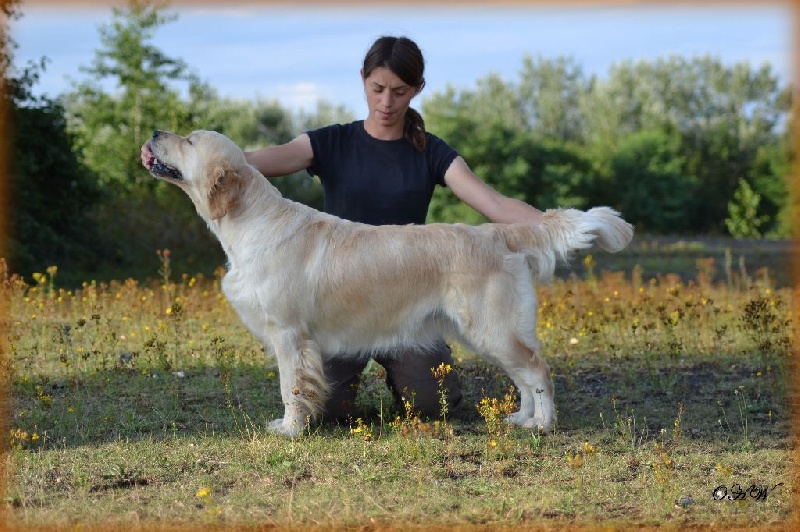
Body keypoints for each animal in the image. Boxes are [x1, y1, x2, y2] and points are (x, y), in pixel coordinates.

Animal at [141, 129, 634, 437]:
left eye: (189, 140)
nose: (153, 133)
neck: (251, 222)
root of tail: (499, 232)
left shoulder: (289, 333)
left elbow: (291, 388)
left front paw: (290, 430)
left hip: (491, 326)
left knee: (537, 370)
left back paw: (544, 425)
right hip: (493, 331)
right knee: (525, 373)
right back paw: (523, 419)